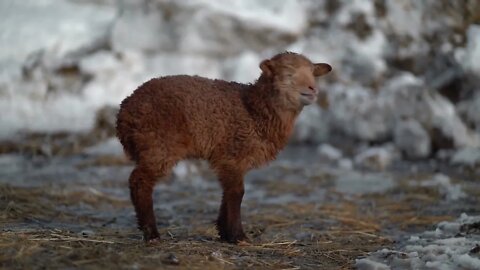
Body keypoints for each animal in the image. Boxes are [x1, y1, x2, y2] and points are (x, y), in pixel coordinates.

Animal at [116, 51, 334, 244]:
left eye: (313, 73)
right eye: (288, 73)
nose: (313, 89)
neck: (253, 109)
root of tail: (124, 111)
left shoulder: (226, 159)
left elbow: (227, 193)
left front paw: (224, 232)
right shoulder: (233, 154)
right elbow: (237, 193)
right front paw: (238, 236)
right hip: (158, 145)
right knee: (139, 182)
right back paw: (152, 234)